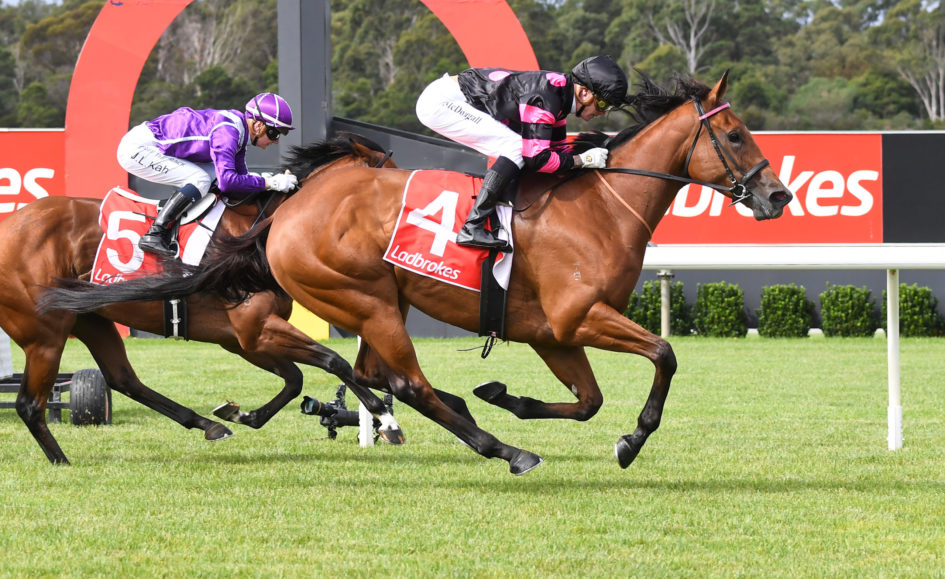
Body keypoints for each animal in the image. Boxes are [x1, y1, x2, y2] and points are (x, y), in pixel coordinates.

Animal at [1, 132, 402, 464]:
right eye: (389, 184)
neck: (258, 236)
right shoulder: (256, 329)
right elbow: (335, 361)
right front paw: (386, 418)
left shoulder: (243, 339)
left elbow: (295, 379)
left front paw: (241, 414)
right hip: (45, 335)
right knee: (29, 404)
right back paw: (60, 460)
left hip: (90, 318)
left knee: (122, 379)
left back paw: (207, 424)